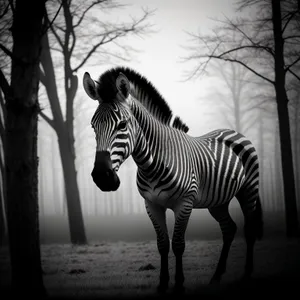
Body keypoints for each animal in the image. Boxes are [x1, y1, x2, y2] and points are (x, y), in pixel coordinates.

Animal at [82, 66, 262, 292]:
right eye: (93, 126)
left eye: (122, 125)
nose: (102, 177)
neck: (151, 164)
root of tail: (234, 131)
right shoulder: (151, 204)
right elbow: (162, 244)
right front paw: (162, 284)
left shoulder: (184, 203)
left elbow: (177, 244)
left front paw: (178, 285)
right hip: (217, 201)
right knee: (229, 229)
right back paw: (216, 277)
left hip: (249, 190)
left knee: (250, 229)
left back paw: (246, 275)